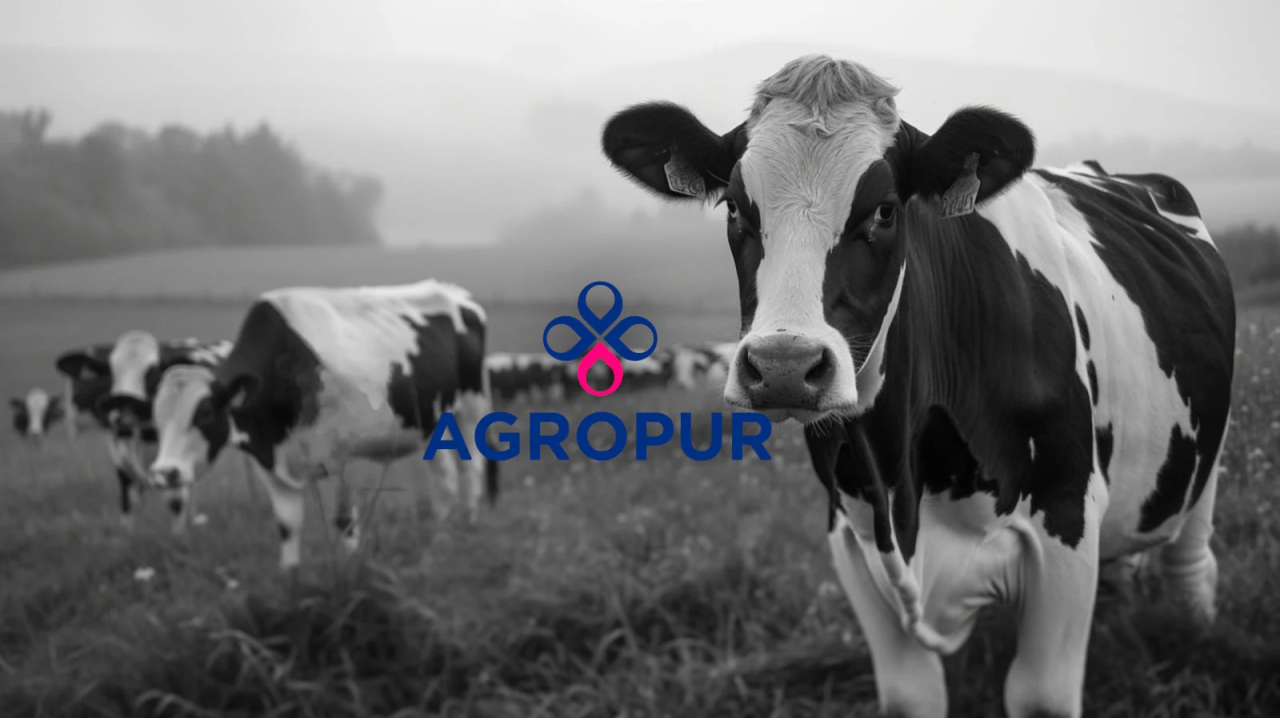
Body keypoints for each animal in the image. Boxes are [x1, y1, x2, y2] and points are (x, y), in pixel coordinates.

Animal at [54, 334, 234, 531]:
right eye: (110, 372)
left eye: (152, 373)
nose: (122, 413)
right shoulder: (121, 461)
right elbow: (127, 503)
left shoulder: (172, 466)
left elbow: (176, 504)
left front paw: (179, 534)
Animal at [145, 280, 500, 571]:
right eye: (157, 417)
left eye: (204, 413)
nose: (164, 473)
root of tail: (455, 292)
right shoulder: (269, 464)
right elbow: (287, 526)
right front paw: (291, 583)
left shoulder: (339, 458)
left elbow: (344, 522)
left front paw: (350, 574)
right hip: (432, 420)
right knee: (445, 476)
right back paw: (439, 535)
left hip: (472, 405)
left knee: (471, 466)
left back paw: (467, 525)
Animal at [599, 55, 1235, 718]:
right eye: (734, 211)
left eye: (884, 210)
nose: (783, 365)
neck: (902, 480)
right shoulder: (851, 536)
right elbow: (912, 695)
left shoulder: (1067, 517)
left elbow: (1041, 695)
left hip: (1208, 459)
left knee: (1193, 562)